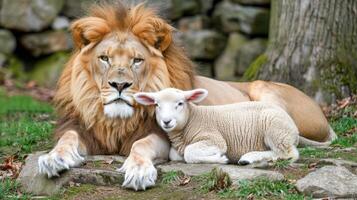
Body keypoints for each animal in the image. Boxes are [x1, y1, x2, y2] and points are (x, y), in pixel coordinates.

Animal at [132, 88, 298, 165]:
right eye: (157, 105)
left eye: (180, 103)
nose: (166, 121)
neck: (193, 119)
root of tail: (294, 128)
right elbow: (174, 154)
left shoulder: (214, 138)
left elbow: (189, 153)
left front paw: (219, 158)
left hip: (276, 128)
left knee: (289, 154)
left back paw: (249, 157)